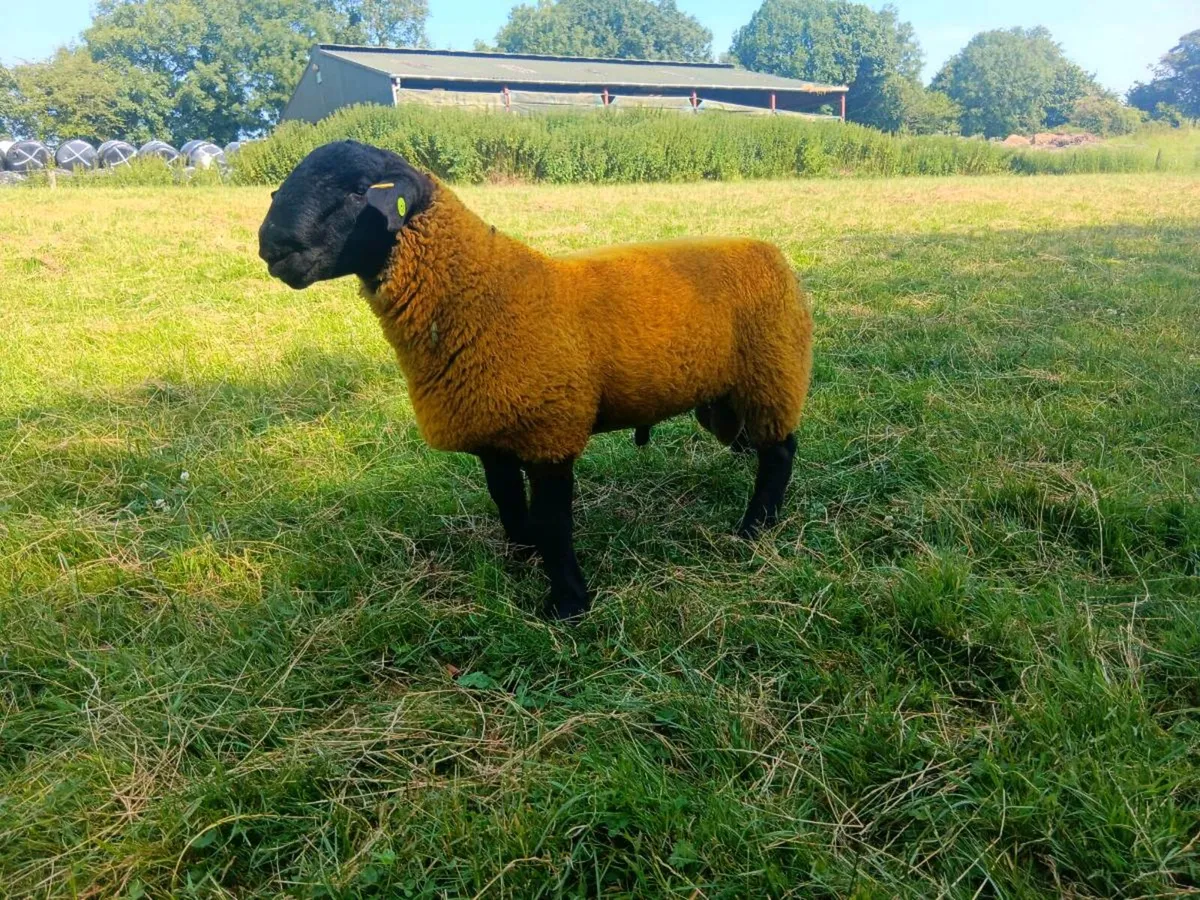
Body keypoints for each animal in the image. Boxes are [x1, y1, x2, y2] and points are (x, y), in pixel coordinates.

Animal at [258, 140, 813, 620]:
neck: (488, 292)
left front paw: (566, 604)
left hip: (772, 374)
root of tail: (769, 250)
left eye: (359, 192)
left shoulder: (551, 430)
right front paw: (520, 556)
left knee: (779, 453)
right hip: (725, 398)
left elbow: (554, 523)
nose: (271, 245)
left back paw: (755, 529)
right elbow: (505, 499)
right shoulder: (492, 431)